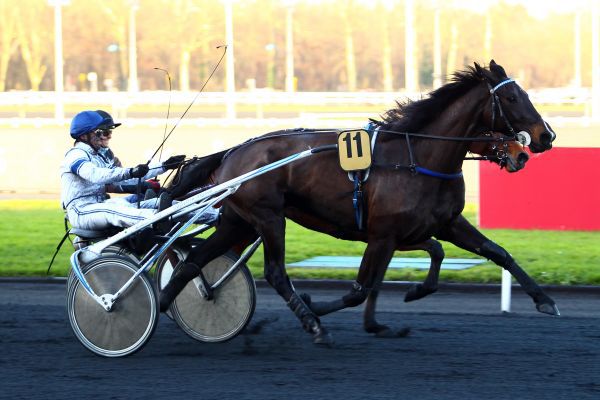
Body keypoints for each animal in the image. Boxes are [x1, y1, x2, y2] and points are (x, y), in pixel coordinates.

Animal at [161, 60, 556, 344]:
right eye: (511, 98)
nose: (544, 137)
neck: (417, 156)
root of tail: (233, 151)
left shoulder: (441, 224)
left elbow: (494, 252)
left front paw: (545, 300)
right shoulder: (383, 235)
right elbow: (361, 288)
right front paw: (318, 308)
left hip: (238, 221)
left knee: (194, 259)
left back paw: (166, 302)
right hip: (268, 218)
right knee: (273, 272)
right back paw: (311, 323)